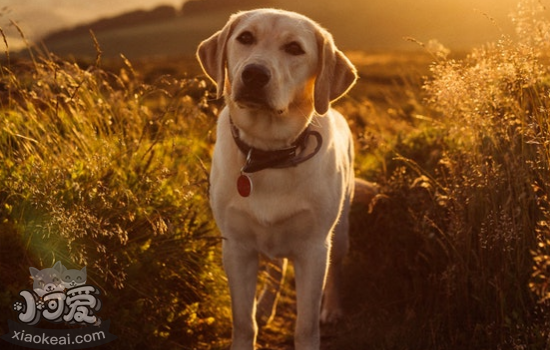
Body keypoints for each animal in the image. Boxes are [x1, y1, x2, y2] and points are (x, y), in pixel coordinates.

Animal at [198, 8, 358, 350]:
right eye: (245, 37)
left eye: (295, 48)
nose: (254, 74)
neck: (268, 152)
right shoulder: (237, 248)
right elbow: (244, 322)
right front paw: (252, 323)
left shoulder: (314, 249)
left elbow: (306, 326)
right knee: (276, 267)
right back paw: (266, 305)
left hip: (340, 232)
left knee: (336, 271)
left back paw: (333, 309)